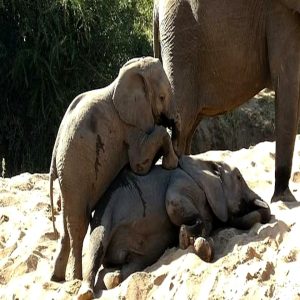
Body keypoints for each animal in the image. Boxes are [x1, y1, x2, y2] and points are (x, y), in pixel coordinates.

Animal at [49, 56, 180, 282]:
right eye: (162, 97)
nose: (174, 120)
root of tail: (55, 152)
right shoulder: (129, 126)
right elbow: (140, 165)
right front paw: (171, 163)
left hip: (68, 172)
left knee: (66, 222)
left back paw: (56, 278)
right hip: (76, 169)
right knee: (78, 223)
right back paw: (76, 279)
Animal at [77, 155, 270, 298]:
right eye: (239, 177)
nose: (265, 212)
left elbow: (221, 222)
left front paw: (193, 242)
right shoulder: (182, 181)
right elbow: (173, 203)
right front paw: (185, 238)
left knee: (133, 264)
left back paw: (113, 278)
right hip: (104, 213)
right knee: (96, 243)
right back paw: (86, 293)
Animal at [154, 0, 300, 202]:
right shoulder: (281, 13)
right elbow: (287, 81)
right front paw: (284, 199)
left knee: (187, 126)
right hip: (181, 38)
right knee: (179, 122)